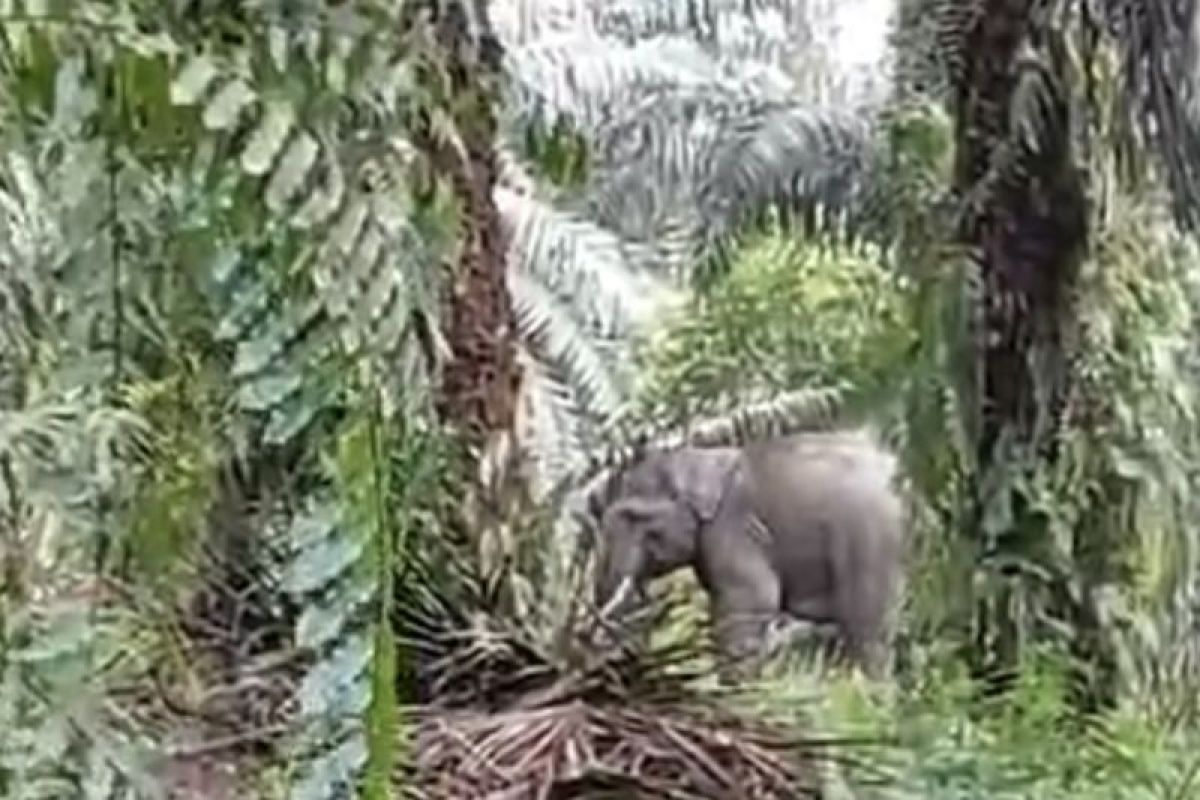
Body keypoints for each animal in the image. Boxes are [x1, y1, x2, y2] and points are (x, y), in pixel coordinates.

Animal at [585, 429, 902, 681]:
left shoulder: (733, 526)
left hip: (869, 536)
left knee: (866, 628)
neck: (698, 459)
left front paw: (735, 690)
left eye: (632, 516)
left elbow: (753, 598)